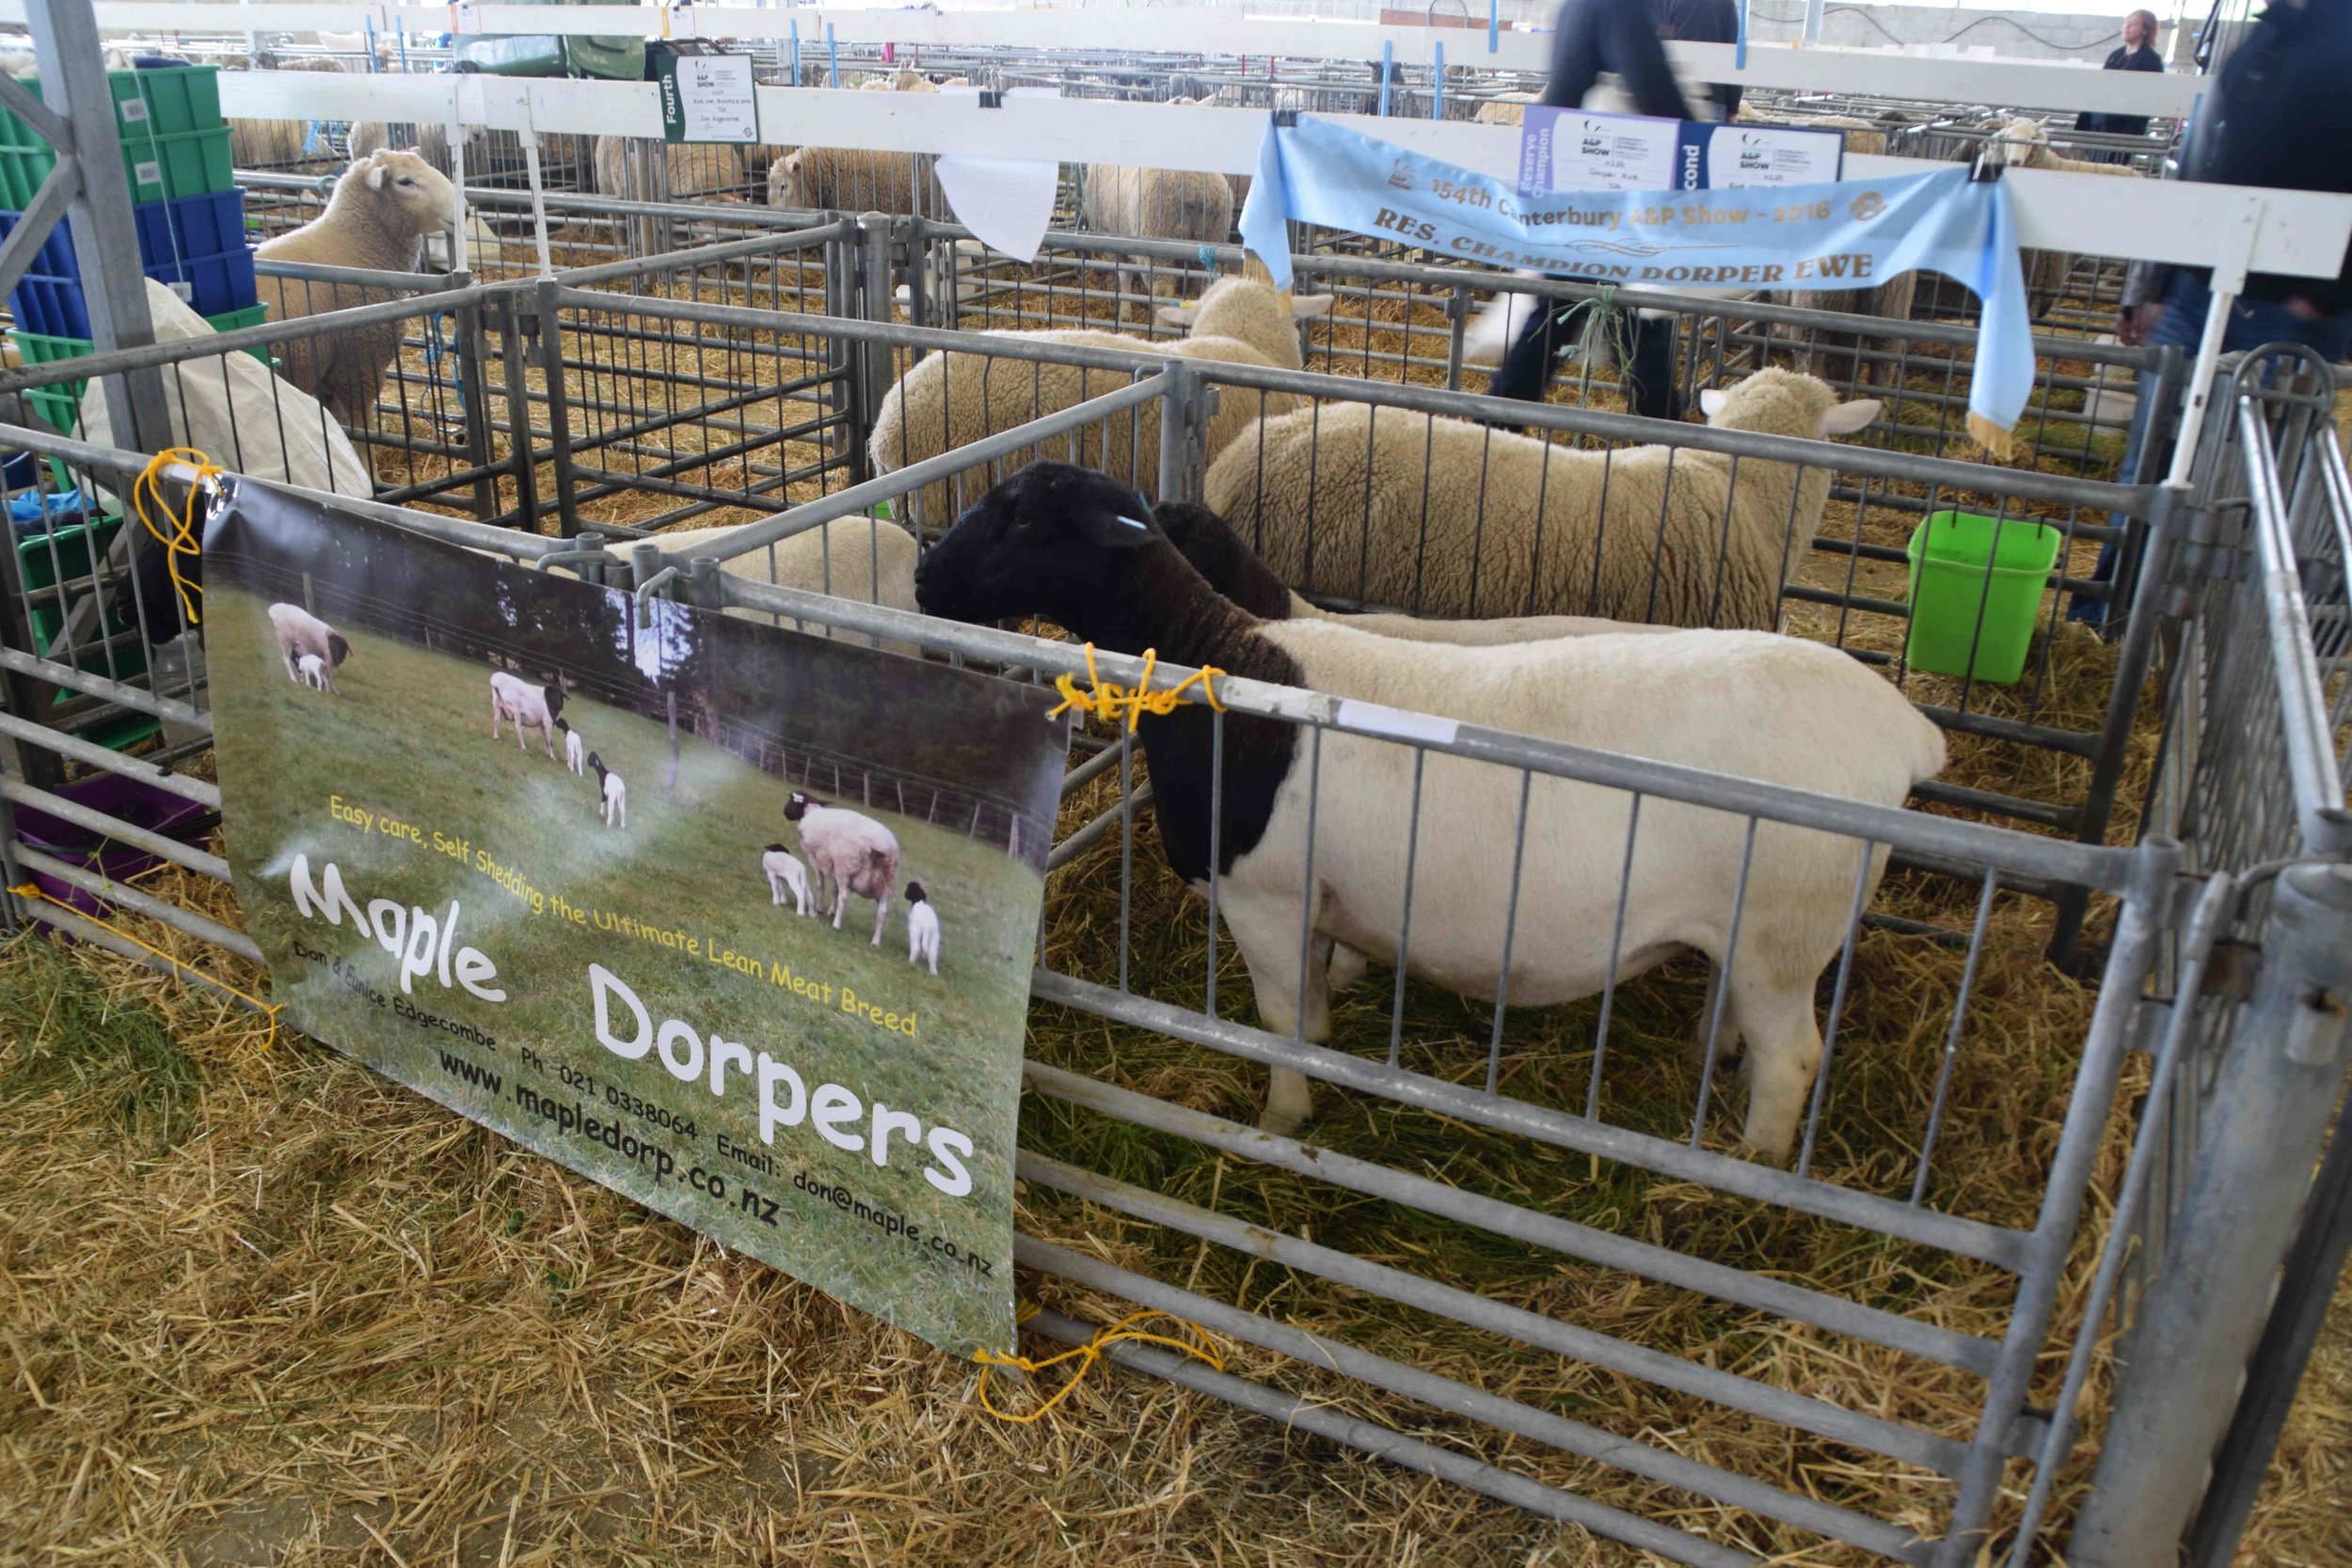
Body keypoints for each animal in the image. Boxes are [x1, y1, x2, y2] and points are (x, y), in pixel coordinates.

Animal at [786, 789, 903, 949]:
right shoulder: (834, 864)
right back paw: (875, 941)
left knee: (844, 897)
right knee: (882, 912)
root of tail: (884, 845)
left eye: (791, 800)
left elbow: (821, 885)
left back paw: (836, 925)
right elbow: (834, 889)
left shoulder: (814, 857)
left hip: (845, 867)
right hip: (886, 882)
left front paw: (820, 909)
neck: (811, 811)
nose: (785, 812)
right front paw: (831, 911)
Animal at [917, 460, 1947, 1161]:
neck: (1216, 660)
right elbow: (1317, 1002)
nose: (926, 581)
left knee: (1793, 1059)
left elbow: (1280, 1019)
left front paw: (1283, 1117)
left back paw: (1748, 1165)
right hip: (1753, 927)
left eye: (1019, 515)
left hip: (1788, 927)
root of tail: (1903, 730)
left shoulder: (1264, 897)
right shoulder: (1320, 901)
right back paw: (1710, 1072)